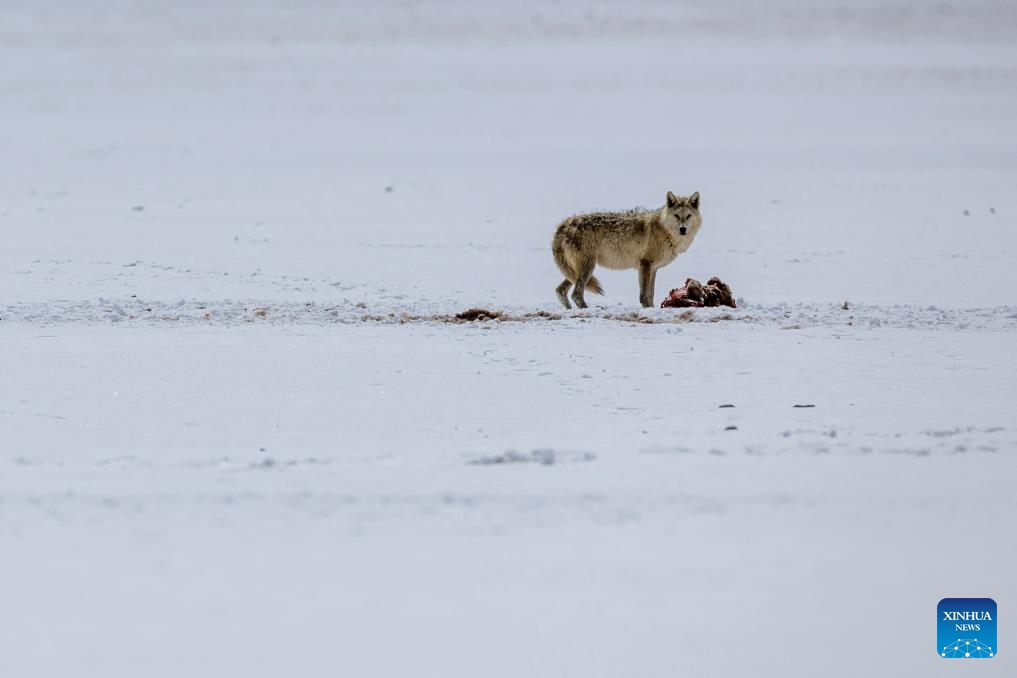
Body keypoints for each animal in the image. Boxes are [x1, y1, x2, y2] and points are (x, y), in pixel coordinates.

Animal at [553, 191, 703, 306]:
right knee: (576, 295)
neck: (664, 231)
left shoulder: (653, 269)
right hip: (587, 268)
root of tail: (565, 224)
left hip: (577, 271)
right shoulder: (645, 266)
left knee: (560, 291)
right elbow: (645, 297)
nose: (683, 229)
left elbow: (651, 295)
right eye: (677, 216)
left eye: (688, 216)